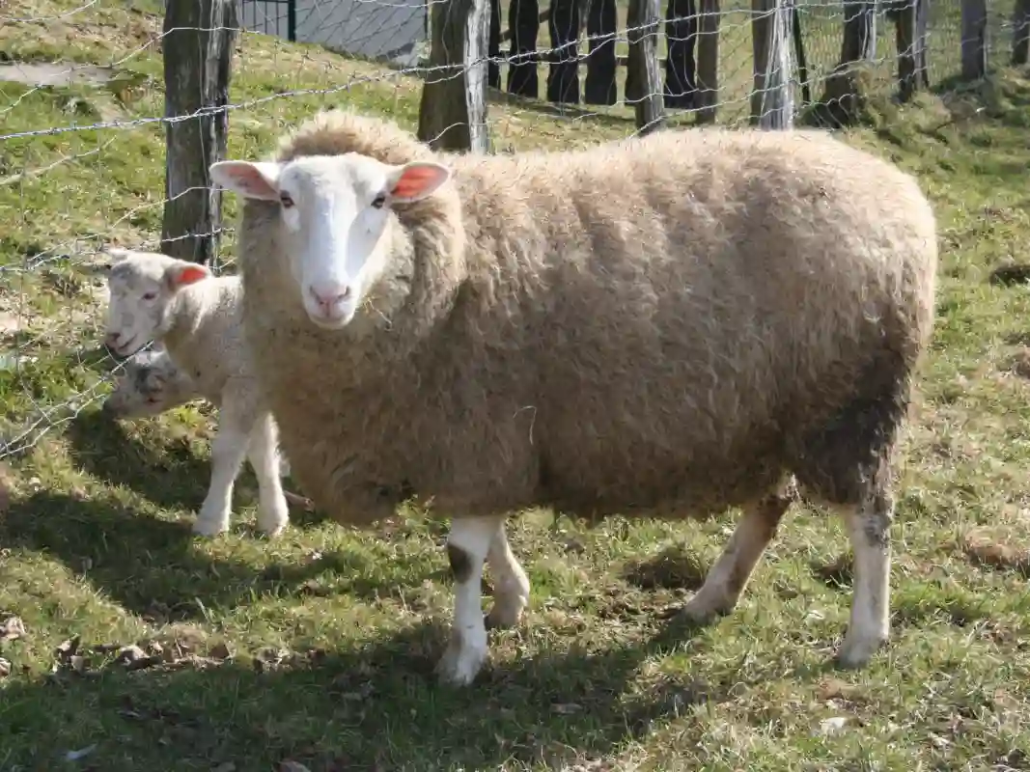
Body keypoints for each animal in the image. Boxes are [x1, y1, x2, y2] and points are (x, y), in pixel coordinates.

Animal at [102, 248, 291, 538]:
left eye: (150, 295)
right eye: (111, 288)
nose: (113, 336)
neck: (209, 314)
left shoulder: (243, 382)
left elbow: (227, 453)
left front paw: (212, 521)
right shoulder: (255, 391)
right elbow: (262, 452)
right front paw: (273, 519)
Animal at [210, 110, 938, 686]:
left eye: (381, 200)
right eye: (285, 200)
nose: (328, 296)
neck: (458, 264)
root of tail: (899, 191)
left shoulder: (479, 427)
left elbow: (461, 555)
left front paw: (462, 658)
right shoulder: (486, 441)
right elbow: (488, 536)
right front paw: (510, 601)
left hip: (852, 403)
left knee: (870, 520)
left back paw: (862, 639)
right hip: (771, 416)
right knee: (770, 505)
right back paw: (712, 597)